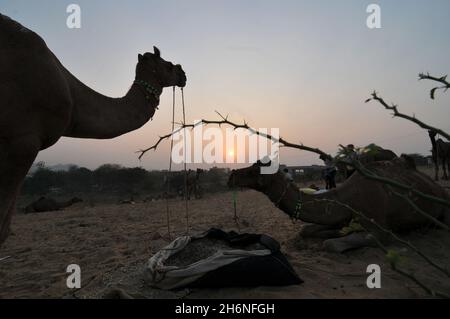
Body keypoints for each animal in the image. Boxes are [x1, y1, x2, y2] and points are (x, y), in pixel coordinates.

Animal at [229, 159, 450, 254]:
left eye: (254, 170)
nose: (232, 175)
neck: (348, 197)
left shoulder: (380, 229)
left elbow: (331, 244)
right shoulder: (341, 216)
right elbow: (306, 229)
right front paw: (334, 232)